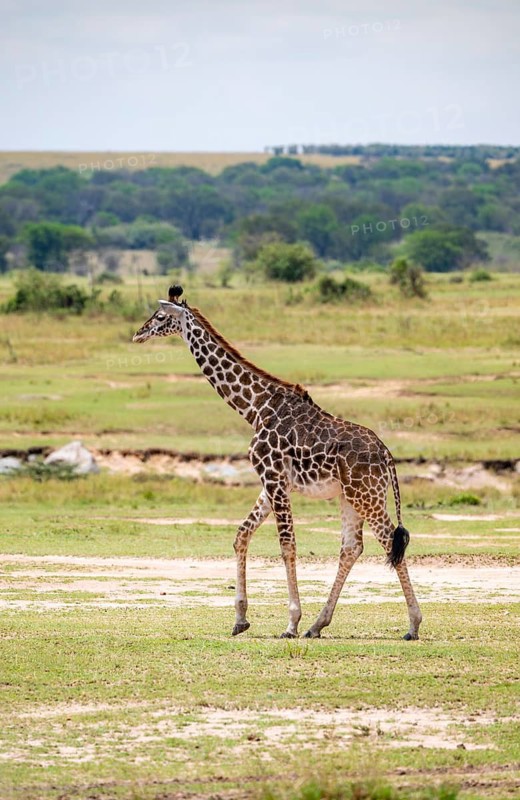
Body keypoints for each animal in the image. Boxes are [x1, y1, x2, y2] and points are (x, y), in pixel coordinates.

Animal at [133, 286, 422, 641]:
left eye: (161, 317)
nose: (138, 333)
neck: (254, 408)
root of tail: (387, 455)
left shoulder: (272, 476)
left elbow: (287, 545)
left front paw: (291, 623)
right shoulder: (271, 481)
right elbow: (241, 535)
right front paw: (240, 619)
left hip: (366, 494)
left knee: (390, 540)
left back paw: (412, 625)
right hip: (350, 497)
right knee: (352, 547)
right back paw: (318, 625)